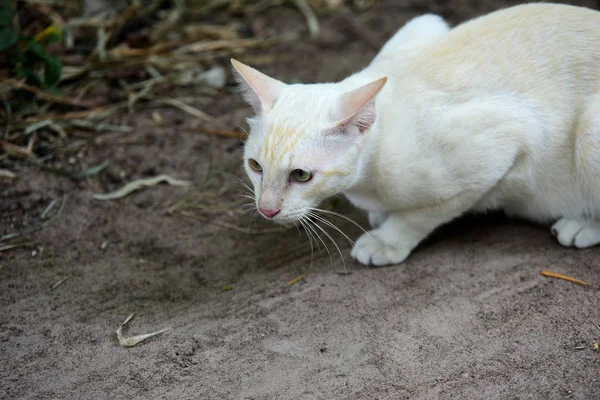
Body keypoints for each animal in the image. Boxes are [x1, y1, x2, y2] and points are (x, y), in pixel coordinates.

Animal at [232, 3, 600, 266]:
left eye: (301, 175)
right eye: (255, 166)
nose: (266, 210)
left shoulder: (504, 142)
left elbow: (420, 215)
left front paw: (387, 239)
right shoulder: (426, 23)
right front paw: (381, 216)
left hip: (590, 132)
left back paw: (582, 224)